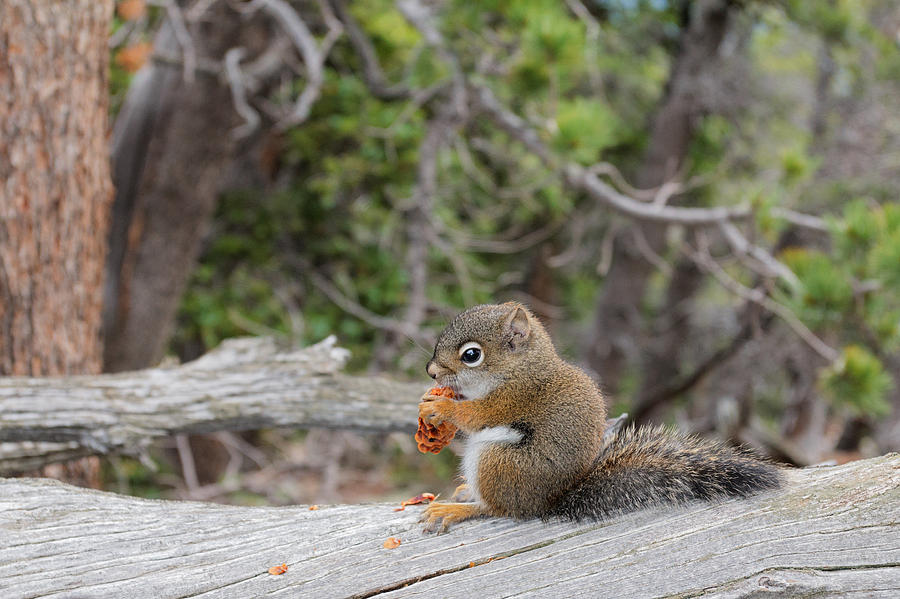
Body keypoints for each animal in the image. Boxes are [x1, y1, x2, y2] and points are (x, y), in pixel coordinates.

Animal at [418, 302, 782, 532]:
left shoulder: (513, 399)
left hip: (497, 463)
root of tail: (547, 502)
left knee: (498, 509)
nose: (431, 371)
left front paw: (442, 408)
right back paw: (465, 493)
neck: (522, 369)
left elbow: (476, 415)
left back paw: (457, 509)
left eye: (471, 355)